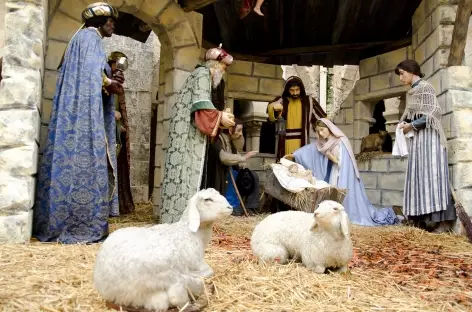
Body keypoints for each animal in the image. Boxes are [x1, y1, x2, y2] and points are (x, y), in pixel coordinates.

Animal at [92, 188, 232, 312]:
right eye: (208, 199)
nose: (230, 208)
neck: (192, 233)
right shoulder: (196, 263)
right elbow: (209, 271)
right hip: (166, 268)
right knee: (178, 293)